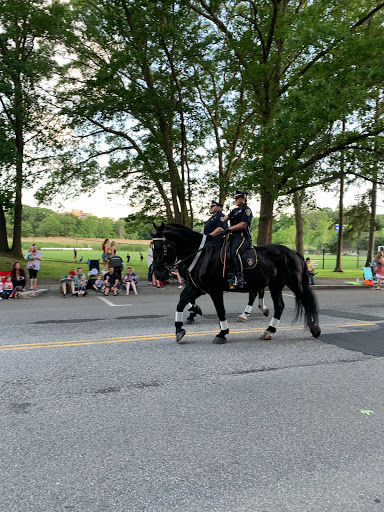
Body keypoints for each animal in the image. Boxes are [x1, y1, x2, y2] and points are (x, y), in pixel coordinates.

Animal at [152, 223, 320, 344]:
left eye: (161, 247)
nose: (158, 274)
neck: (201, 254)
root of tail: (293, 253)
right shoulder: (196, 287)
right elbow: (181, 302)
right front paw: (179, 328)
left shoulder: (214, 289)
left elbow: (220, 310)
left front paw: (222, 333)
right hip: (275, 285)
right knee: (278, 306)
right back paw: (269, 330)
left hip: (294, 284)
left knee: (306, 301)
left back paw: (314, 329)